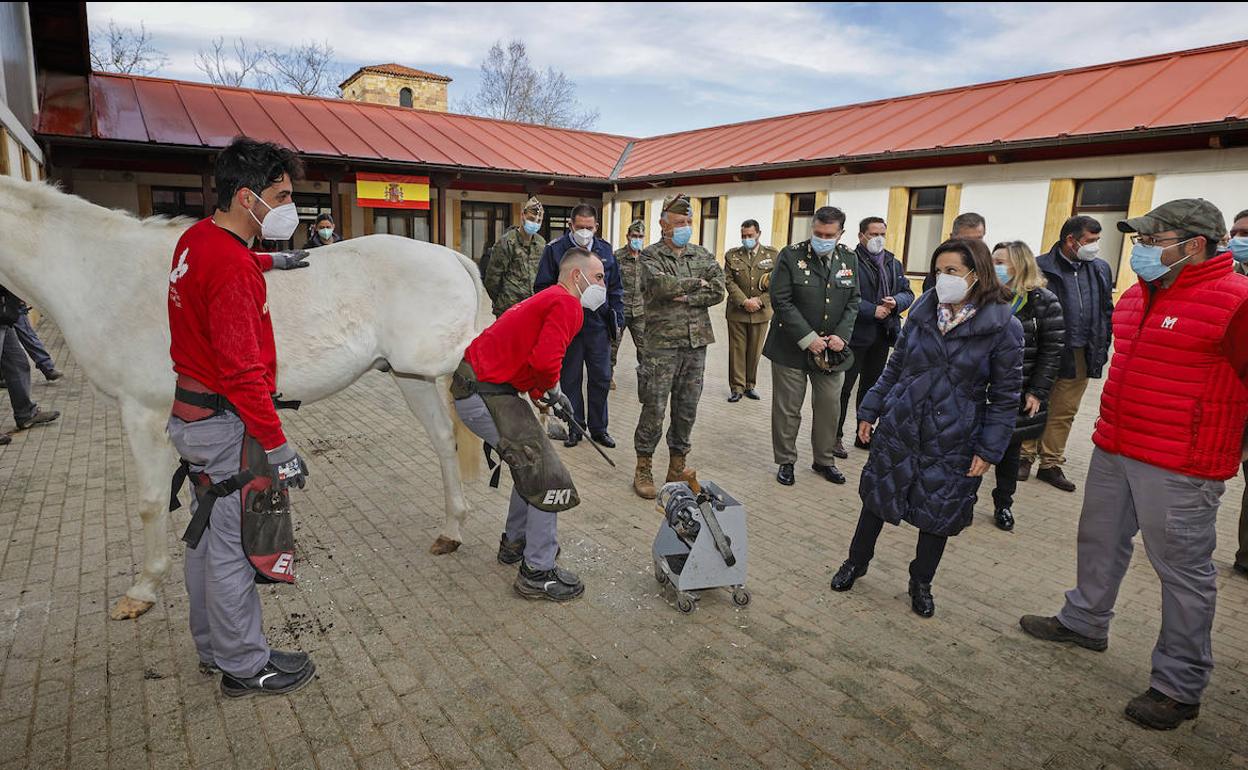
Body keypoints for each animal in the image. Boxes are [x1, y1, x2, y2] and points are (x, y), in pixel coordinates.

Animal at [0, 175, 481, 618]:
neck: (102, 273)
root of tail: (450, 255)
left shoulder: (142, 412)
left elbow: (150, 503)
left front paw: (144, 588)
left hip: (438, 360)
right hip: (412, 375)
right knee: (445, 441)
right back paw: (452, 529)